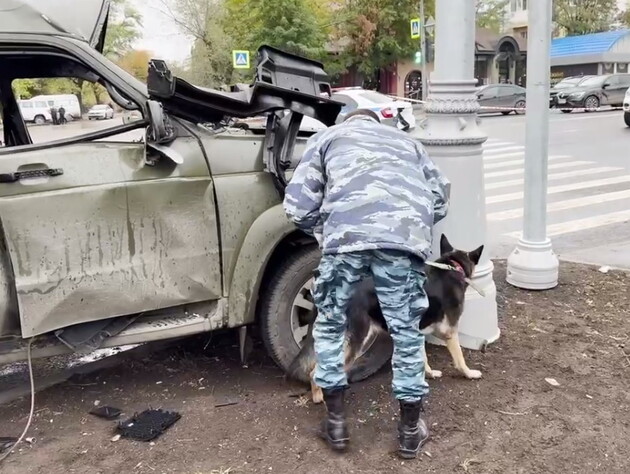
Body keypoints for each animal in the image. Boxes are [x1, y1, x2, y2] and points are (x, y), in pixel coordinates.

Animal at [288, 234, 486, 404]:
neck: (452, 267)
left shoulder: (417, 332)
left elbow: (423, 360)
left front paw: (428, 374)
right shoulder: (450, 333)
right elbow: (460, 360)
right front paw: (469, 374)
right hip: (356, 340)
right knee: (316, 372)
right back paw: (321, 397)